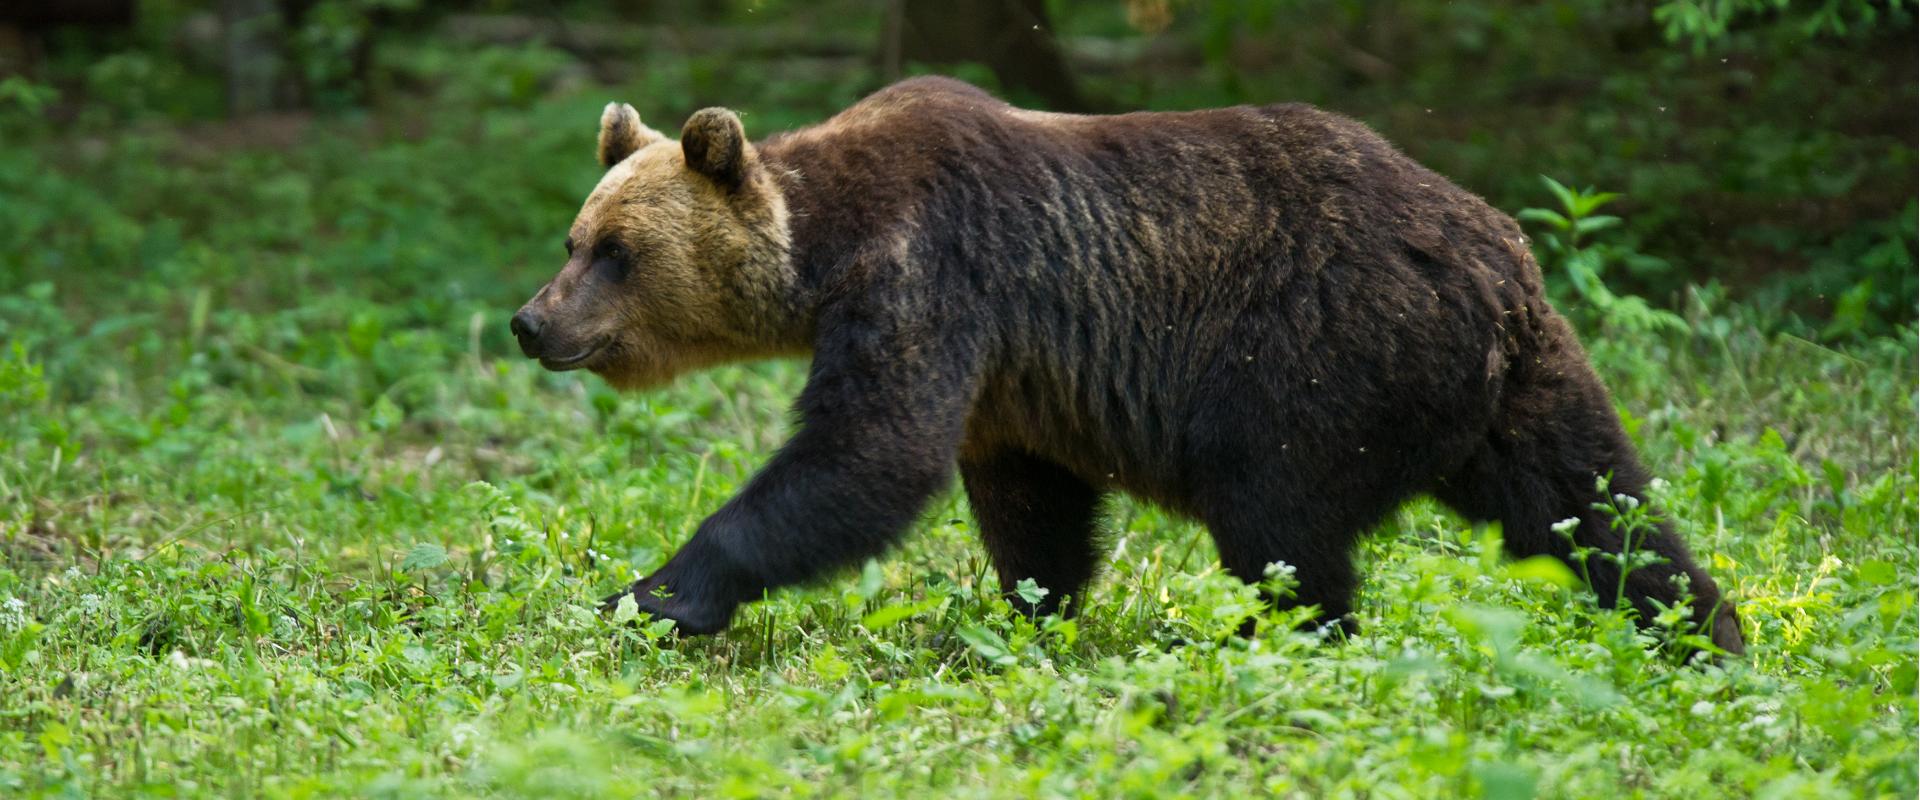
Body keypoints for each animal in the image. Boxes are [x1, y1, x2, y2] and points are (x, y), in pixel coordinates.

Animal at [518, 73, 1751, 656]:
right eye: (575, 239)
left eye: (615, 252)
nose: (533, 321)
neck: (825, 252)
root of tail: (1494, 262)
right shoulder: (1010, 379)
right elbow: (1031, 509)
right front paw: (1031, 613)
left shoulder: (934, 278)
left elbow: (865, 455)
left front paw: (655, 591)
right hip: (1518, 380)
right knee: (1599, 508)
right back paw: (1711, 635)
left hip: (1317, 354)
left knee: (1281, 527)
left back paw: (1288, 643)